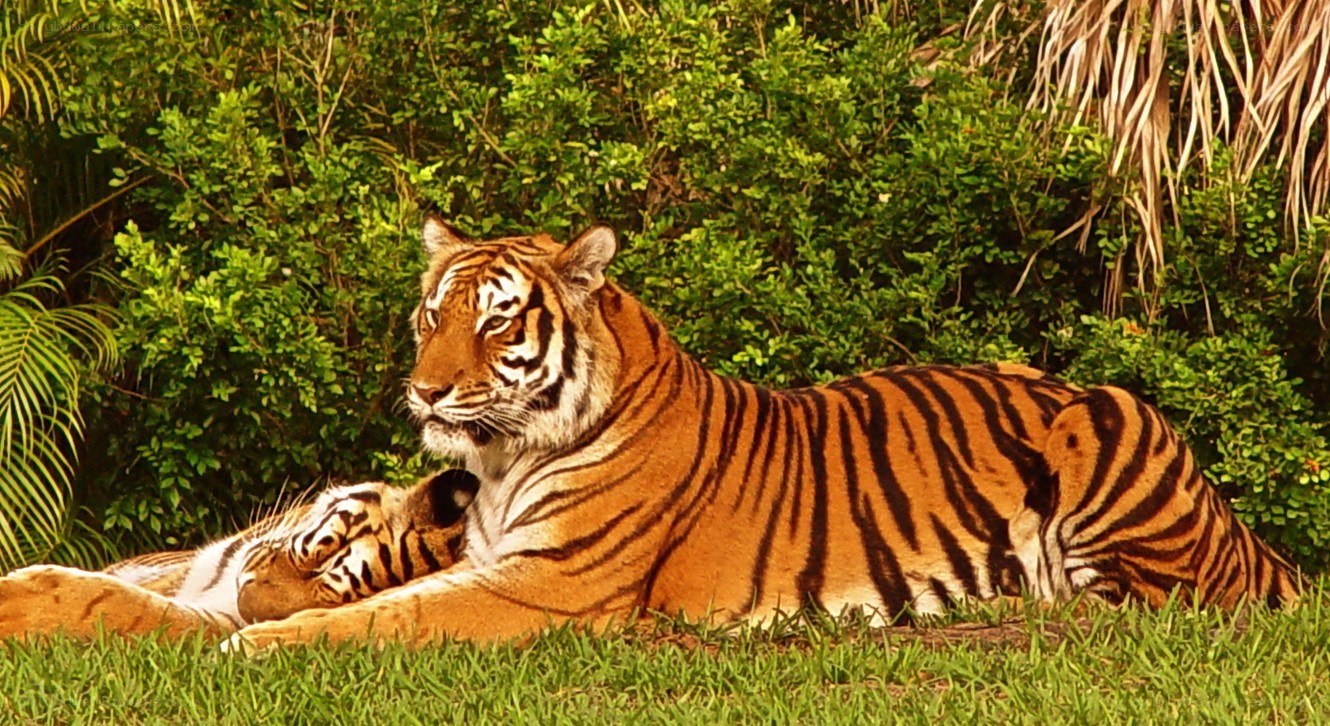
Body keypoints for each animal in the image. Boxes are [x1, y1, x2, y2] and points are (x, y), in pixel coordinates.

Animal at [225, 217, 1302, 650]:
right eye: (431, 315)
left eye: (493, 323)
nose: (424, 391)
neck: (501, 463)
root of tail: (1252, 540)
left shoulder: (549, 584)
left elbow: (386, 618)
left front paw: (258, 645)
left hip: (1105, 429)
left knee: (1137, 606)